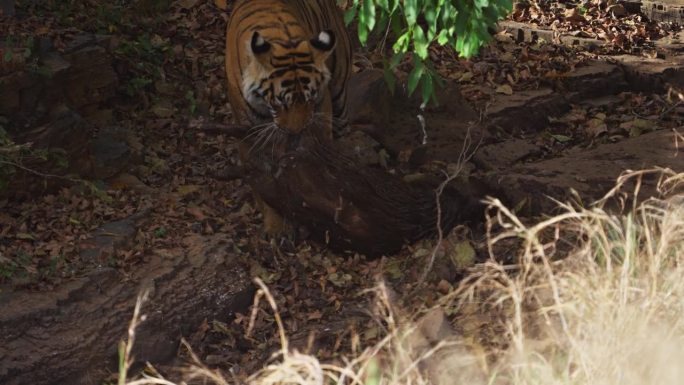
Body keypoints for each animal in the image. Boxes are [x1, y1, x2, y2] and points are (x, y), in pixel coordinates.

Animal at [226, 0, 352, 236]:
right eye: (280, 102)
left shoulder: (322, 108)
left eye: (310, 98)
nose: (296, 132)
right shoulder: (249, 131)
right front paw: (277, 227)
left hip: (340, 90)